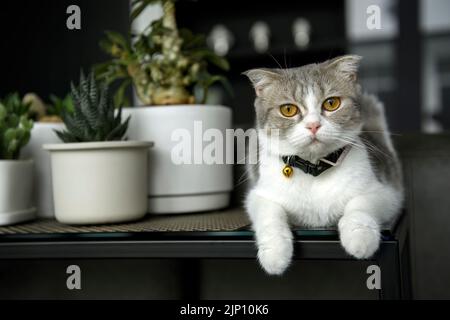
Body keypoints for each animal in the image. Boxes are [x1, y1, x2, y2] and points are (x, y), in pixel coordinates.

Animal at [244, 55, 402, 276]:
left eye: (331, 103)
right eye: (288, 109)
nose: (313, 125)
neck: (314, 172)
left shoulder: (388, 194)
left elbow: (360, 204)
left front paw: (360, 238)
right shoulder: (260, 194)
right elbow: (270, 215)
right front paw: (275, 254)